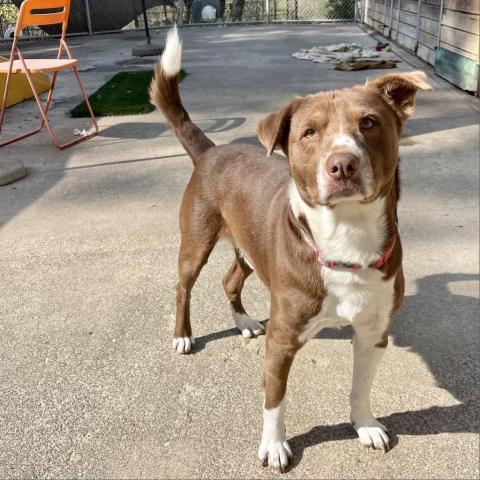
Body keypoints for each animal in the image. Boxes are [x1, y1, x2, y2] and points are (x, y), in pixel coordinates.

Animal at [150, 27, 432, 472]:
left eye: (369, 122)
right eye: (309, 133)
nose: (343, 165)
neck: (346, 241)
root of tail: (212, 150)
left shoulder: (374, 333)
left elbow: (361, 386)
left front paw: (365, 425)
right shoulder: (281, 342)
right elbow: (274, 398)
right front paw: (274, 445)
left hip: (249, 248)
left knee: (230, 278)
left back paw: (244, 320)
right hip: (196, 242)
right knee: (184, 287)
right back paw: (182, 336)